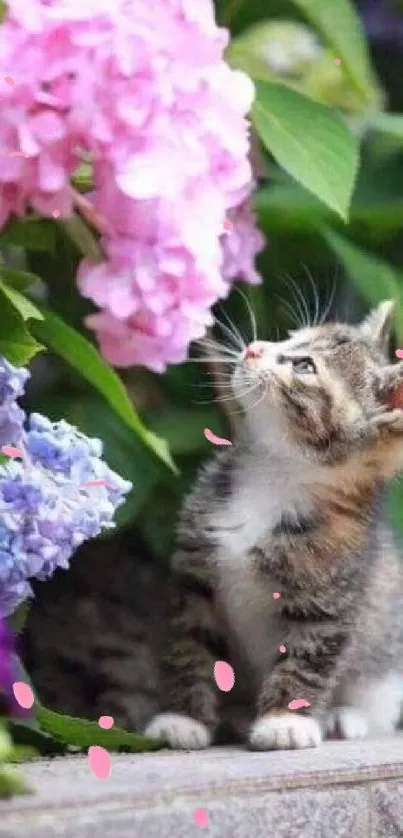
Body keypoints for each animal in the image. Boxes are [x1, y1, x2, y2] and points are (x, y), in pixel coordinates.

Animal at [145, 302, 403, 756]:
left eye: (304, 365)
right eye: (290, 336)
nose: (253, 348)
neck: (273, 476)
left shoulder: (332, 592)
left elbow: (307, 656)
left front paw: (285, 721)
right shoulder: (195, 577)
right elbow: (189, 643)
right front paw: (182, 718)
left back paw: (344, 717)